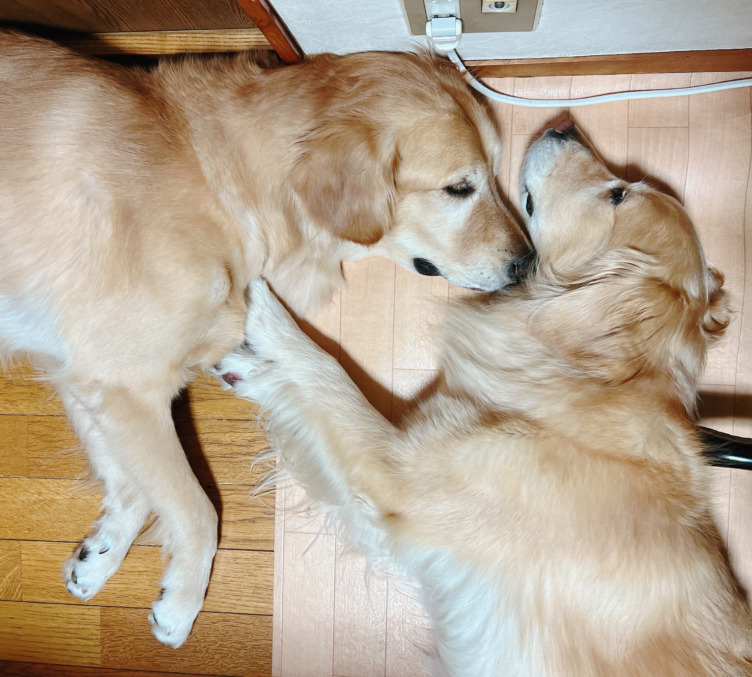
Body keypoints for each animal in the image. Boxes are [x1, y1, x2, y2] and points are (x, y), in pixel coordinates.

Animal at [0, 29, 528, 648]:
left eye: (495, 174)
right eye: (459, 188)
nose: (527, 264)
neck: (212, 177)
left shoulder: (88, 374)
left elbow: (131, 484)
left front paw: (101, 553)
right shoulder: (125, 383)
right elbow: (197, 510)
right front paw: (182, 602)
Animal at [216, 121, 752, 676]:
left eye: (618, 195)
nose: (563, 125)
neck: (583, 381)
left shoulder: (398, 474)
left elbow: (328, 372)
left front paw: (256, 307)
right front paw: (256, 369)